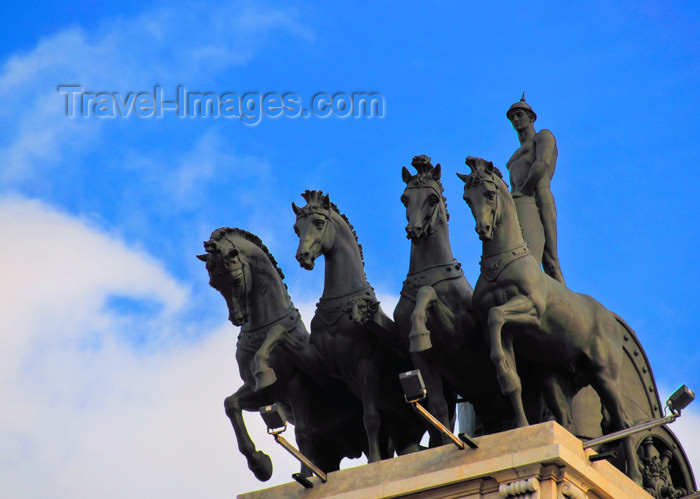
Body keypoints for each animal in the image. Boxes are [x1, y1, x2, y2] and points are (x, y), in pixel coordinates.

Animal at [292, 191, 424, 464]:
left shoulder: (366, 366)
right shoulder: (322, 368)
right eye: (296, 229)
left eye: (318, 223)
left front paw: (374, 461)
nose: (303, 257)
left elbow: (370, 418)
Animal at [456, 157, 644, 484]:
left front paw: (499, 365)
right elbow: (512, 381)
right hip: (557, 379)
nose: (484, 229)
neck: (503, 264)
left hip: (604, 375)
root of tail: (608, 316)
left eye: (490, 194)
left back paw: (632, 476)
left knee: (624, 420)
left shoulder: (529, 309)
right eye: (468, 198)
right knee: (566, 421)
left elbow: (496, 314)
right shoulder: (506, 333)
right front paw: (518, 419)